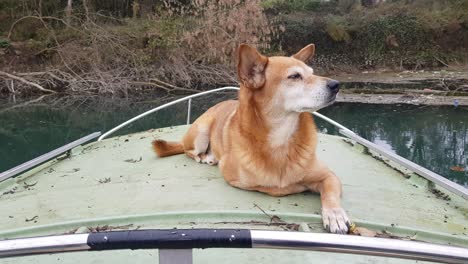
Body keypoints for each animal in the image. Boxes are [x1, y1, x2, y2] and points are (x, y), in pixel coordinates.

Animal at [154, 44, 352, 234]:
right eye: (295, 76)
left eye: (312, 72)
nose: (336, 85)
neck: (281, 137)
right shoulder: (234, 177)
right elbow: (271, 186)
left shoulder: (329, 176)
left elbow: (330, 193)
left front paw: (335, 214)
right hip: (200, 133)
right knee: (189, 151)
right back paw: (207, 157)